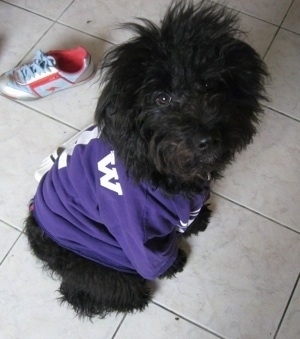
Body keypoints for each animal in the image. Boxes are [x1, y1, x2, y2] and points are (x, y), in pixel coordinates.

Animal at [25, 0, 268, 318]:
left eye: (208, 84)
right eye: (161, 98)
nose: (208, 139)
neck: (163, 172)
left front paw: (196, 222)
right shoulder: (133, 229)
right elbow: (152, 258)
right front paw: (173, 263)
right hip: (98, 258)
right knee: (92, 288)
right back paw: (133, 296)